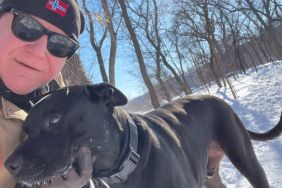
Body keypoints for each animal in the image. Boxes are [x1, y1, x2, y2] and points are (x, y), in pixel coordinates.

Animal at [4, 83, 282, 188]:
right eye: (26, 131)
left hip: (247, 160)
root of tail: (212, 96)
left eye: (55, 119)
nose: (9, 165)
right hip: (209, 176)